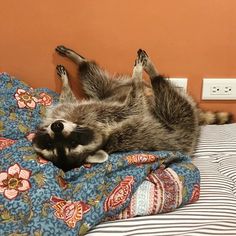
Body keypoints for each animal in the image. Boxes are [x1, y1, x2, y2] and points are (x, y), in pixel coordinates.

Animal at [32, 46, 200, 171]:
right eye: (51, 145)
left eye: (73, 142)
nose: (57, 126)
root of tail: (188, 146)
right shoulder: (96, 113)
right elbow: (134, 106)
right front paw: (137, 76)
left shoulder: (69, 113)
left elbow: (67, 98)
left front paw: (65, 82)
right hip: (181, 116)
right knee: (165, 94)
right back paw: (151, 73)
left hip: (109, 91)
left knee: (94, 79)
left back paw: (79, 59)